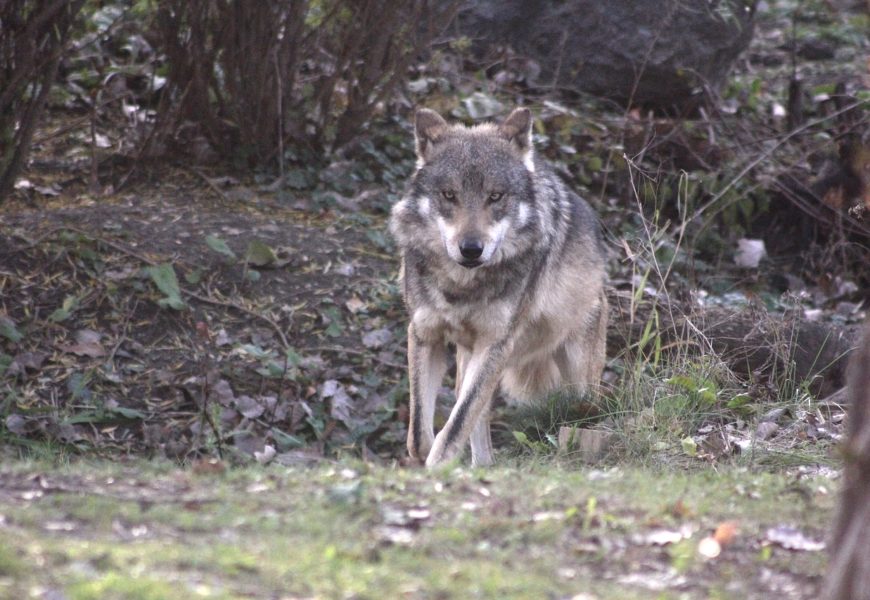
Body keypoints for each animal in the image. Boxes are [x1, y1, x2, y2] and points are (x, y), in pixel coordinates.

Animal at [389, 107, 608, 468]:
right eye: (449, 195)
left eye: (495, 196)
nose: (471, 249)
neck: (462, 286)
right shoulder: (424, 334)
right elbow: (420, 433)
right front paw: (427, 461)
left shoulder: (495, 344)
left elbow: (456, 424)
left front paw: (438, 466)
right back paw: (481, 466)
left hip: (577, 380)